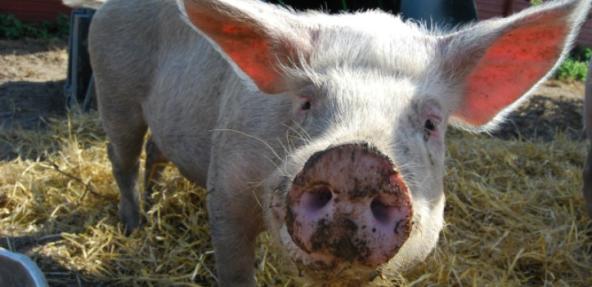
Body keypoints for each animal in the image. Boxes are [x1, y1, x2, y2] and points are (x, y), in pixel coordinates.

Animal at [62, 0, 588, 286]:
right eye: (307, 102)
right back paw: (134, 225)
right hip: (114, 92)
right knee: (122, 158)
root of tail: (105, 9)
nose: (355, 159)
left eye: (431, 122)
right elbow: (234, 267)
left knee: (155, 154)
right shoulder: (226, 186)